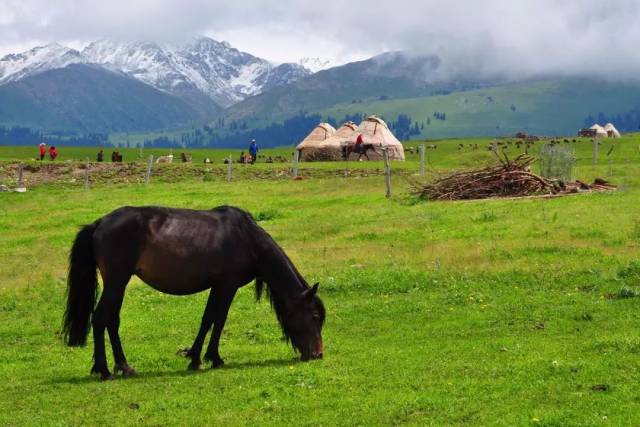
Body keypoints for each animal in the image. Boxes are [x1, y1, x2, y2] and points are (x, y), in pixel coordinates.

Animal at [62, 206, 324, 380]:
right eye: (314, 317)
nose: (318, 354)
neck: (247, 238)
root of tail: (100, 223)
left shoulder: (217, 286)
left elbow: (207, 319)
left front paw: (196, 358)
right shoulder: (227, 286)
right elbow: (218, 320)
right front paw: (214, 358)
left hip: (118, 284)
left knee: (112, 320)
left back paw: (123, 366)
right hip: (117, 281)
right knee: (100, 319)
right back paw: (104, 370)